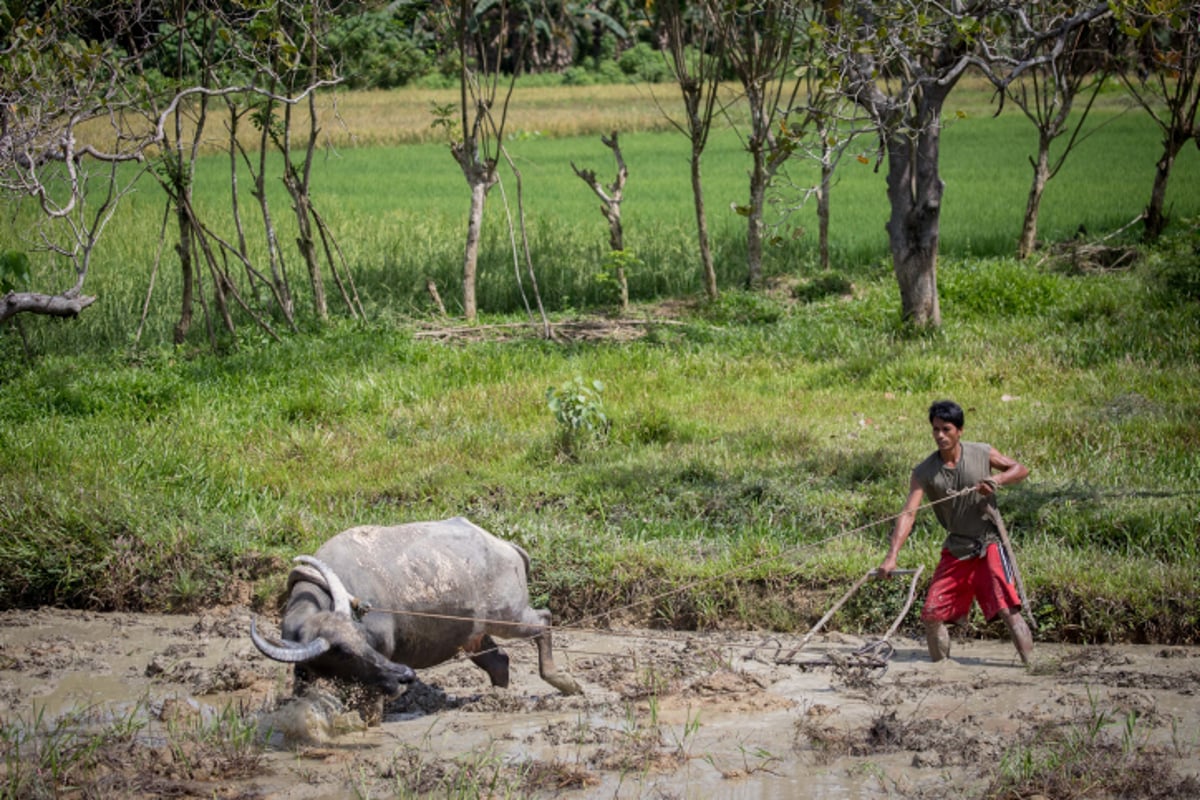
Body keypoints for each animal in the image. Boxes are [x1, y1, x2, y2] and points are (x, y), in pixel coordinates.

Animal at [250, 520, 583, 714]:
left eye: (362, 640)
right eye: (341, 652)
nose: (405, 674)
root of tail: (506, 547)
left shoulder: (382, 658)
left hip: (509, 615)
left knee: (543, 621)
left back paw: (564, 681)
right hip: (472, 632)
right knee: (499, 660)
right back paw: (498, 699)